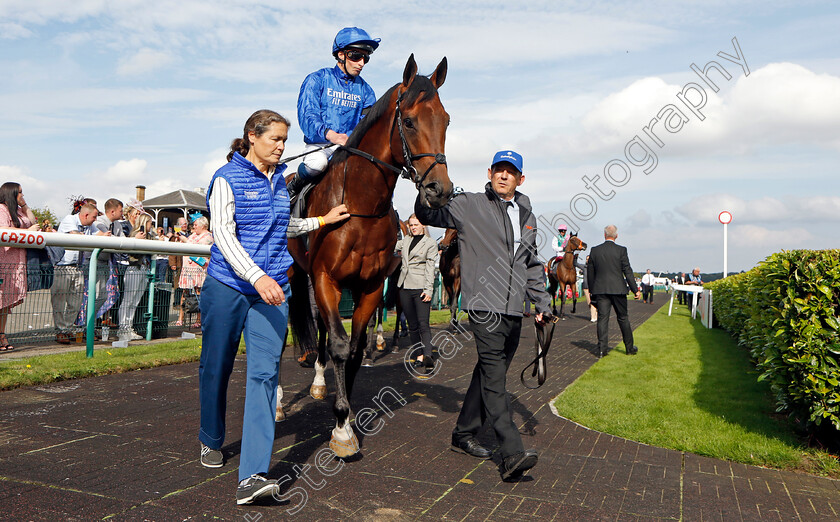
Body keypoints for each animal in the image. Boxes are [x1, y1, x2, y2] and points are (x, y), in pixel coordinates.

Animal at [286, 53, 452, 456]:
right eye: (409, 121)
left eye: (446, 120)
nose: (439, 190)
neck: (359, 207)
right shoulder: (326, 279)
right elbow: (340, 346)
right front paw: (342, 431)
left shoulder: (371, 286)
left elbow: (355, 349)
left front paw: (346, 418)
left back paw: (319, 381)